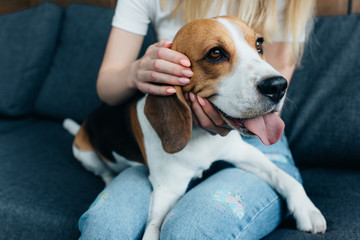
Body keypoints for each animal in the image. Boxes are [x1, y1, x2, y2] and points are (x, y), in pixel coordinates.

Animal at [64, 15, 326, 239]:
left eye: (259, 44)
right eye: (216, 53)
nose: (278, 86)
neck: (201, 138)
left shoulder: (243, 153)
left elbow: (283, 176)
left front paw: (308, 210)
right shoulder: (167, 190)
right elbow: (154, 227)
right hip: (83, 151)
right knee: (102, 170)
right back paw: (110, 176)